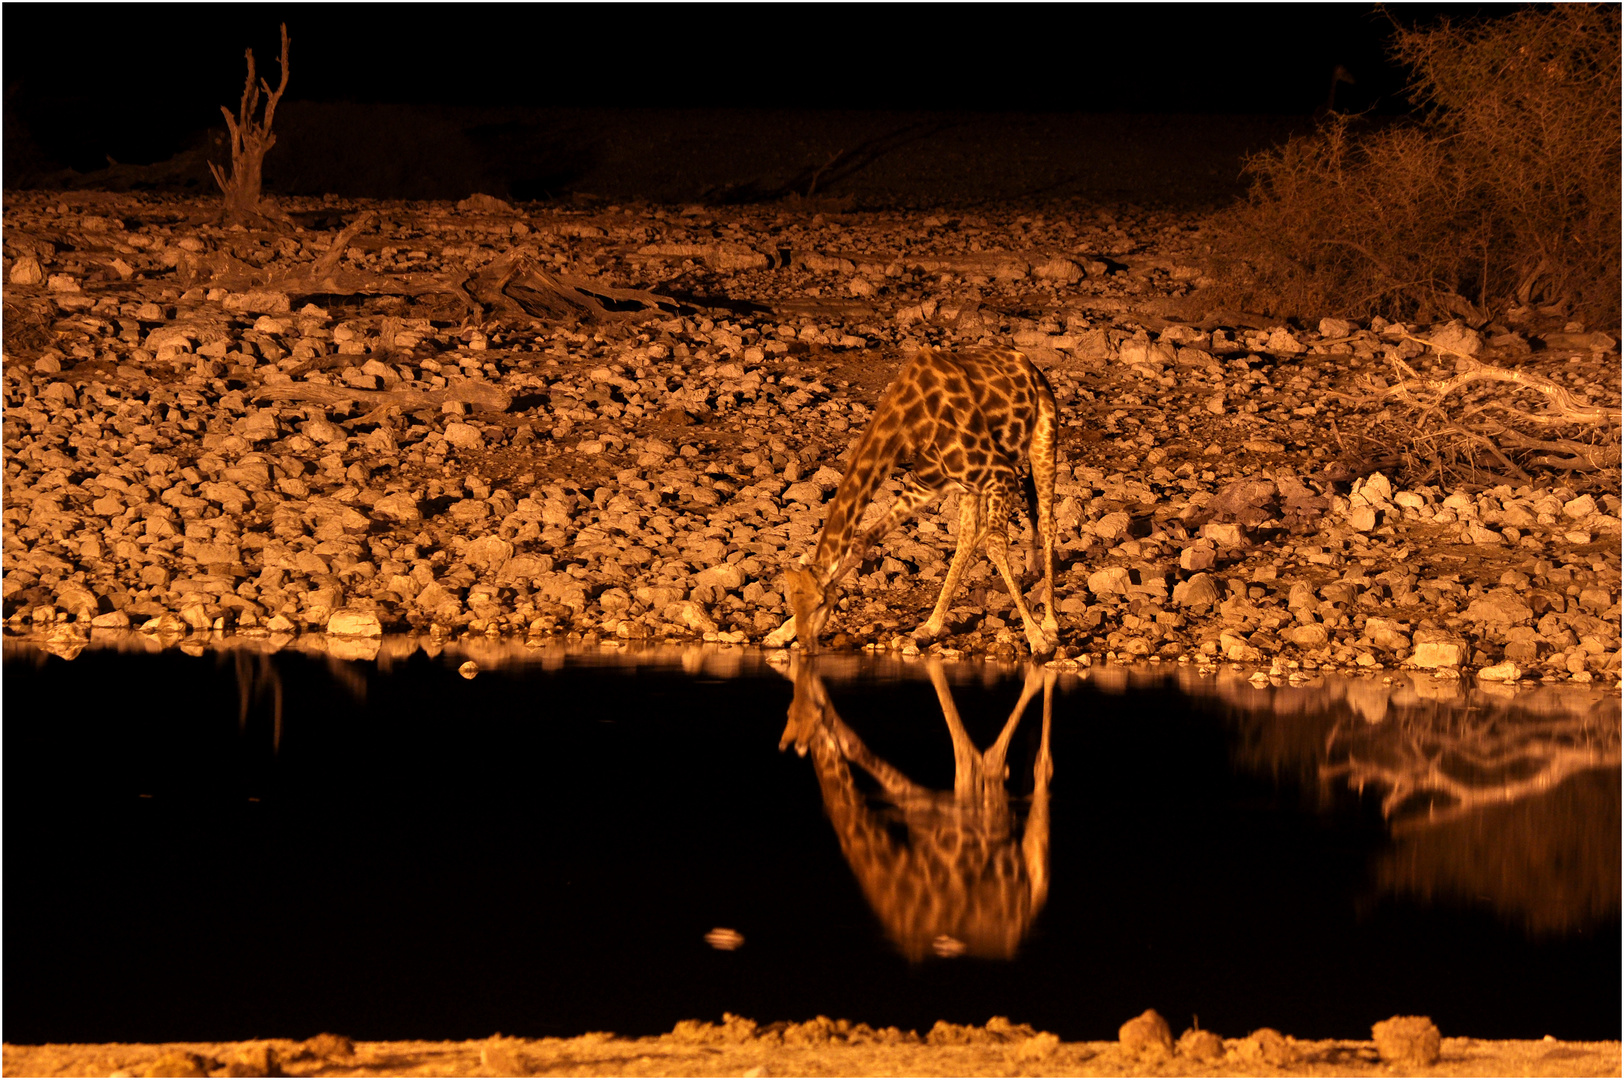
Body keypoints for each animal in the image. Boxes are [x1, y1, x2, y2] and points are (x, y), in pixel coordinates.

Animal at [766, 345, 1058, 656]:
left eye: (821, 603)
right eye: (793, 601)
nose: (806, 645)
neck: (909, 423)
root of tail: (1030, 365)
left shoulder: (1001, 474)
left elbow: (994, 544)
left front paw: (1036, 637)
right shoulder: (928, 484)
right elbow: (861, 542)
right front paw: (780, 633)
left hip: (1043, 437)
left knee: (1046, 523)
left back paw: (1051, 626)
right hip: (970, 487)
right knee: (968, 535)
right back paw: (928, 628)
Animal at [782, 656, 1058, 961]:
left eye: (795, 713)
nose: (808, 677)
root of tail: (1018, 927)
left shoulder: (984, 823)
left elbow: (980, 762)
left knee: (1039, 767)